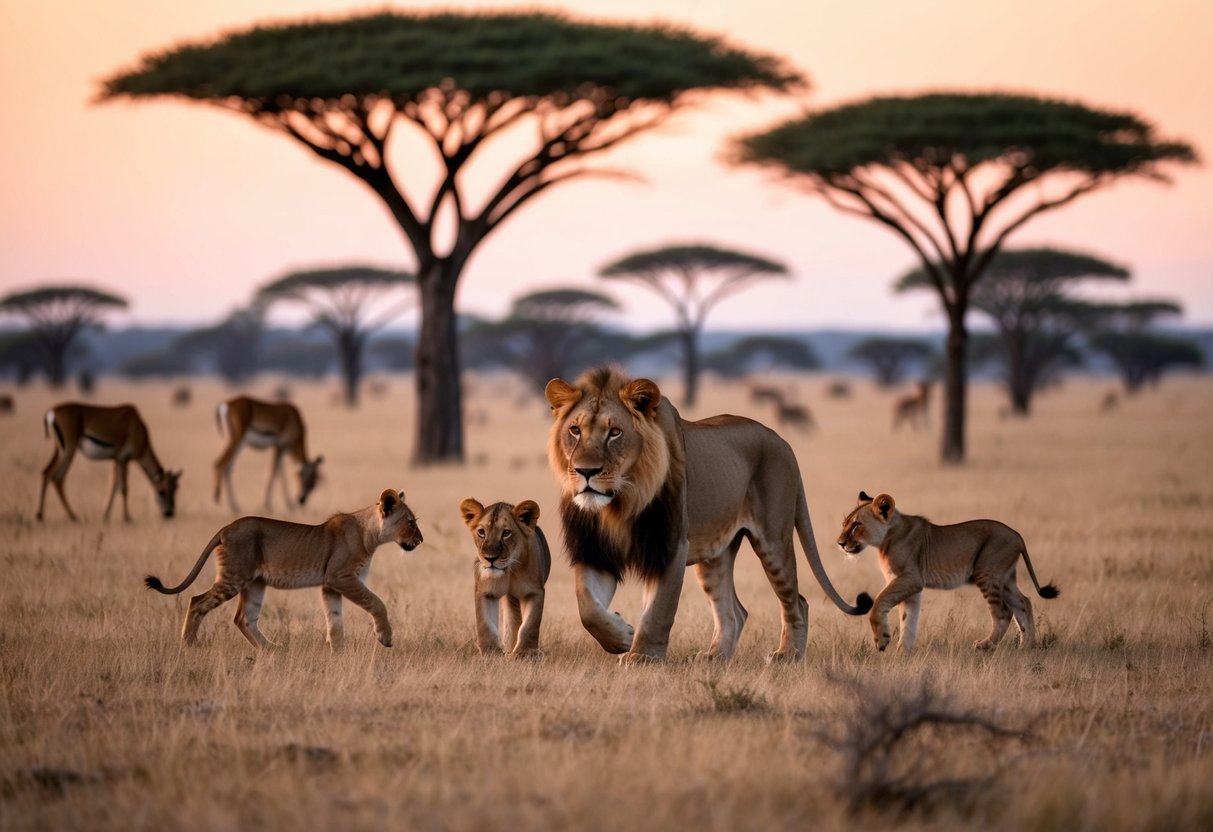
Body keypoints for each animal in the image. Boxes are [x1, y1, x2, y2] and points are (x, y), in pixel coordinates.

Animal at [37, 402, 181, 521]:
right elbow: (123, 488)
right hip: (68, 451)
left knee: (49, 474)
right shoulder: (124, 459)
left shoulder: (116, 460)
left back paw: (64, 515)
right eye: (162, 491)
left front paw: (105, 516)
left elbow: (112, 486)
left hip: (60, 451)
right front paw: (127, 518)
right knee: (54, 475)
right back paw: (52, 516)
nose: (169, 513)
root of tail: (52, 412)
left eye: (175, 489)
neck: (137, 427)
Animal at [143, 489, 422, 650]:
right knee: (197, 601)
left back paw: (271, 649)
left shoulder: (329, 584)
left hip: (254, 583)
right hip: (234, 576)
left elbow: (334, 620)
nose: (421, 540)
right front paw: (385, 637)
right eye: (410, 522)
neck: (369, 535)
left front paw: (337, 652)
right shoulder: (340, 577)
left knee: (244, 618)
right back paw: (190, 645)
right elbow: (376, 602)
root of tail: (225, 528)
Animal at [456, 499, 553, 659]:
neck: (510, 571)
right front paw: (491, 654)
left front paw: (525, 653)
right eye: (481, 532)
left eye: (506, 533)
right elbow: (485, 625)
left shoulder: (534, 591)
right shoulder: (486, 591)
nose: (490, 558)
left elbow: (530, 625)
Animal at [543, 366, 873, 664]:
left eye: (615, 433)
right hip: (716, 555)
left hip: (773, 542)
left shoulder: (671, 545)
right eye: (575, 430)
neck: (620, 503)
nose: (586, 471)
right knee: (735, 612)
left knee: (797, 602)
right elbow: (587, 608)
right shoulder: (594, 549)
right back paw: (715, 657)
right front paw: (621, 637)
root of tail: (783, 443)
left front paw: (642, 656)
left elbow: (659, 609)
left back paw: (787, 655)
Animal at [839, 492, 1057, 654]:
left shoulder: (911, 578)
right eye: (845, 524)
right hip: (1005, 579)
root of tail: (1018, 535)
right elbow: (908, 621)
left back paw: (985, 645)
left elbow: (879, 602)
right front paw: (902, 654)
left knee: (1004, 611)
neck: (885, 538)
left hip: (986, 573)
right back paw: (1026, 648)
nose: (840, 543)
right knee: (1024, 602)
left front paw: (882, 640)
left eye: (857, 525)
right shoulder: (911, 587)